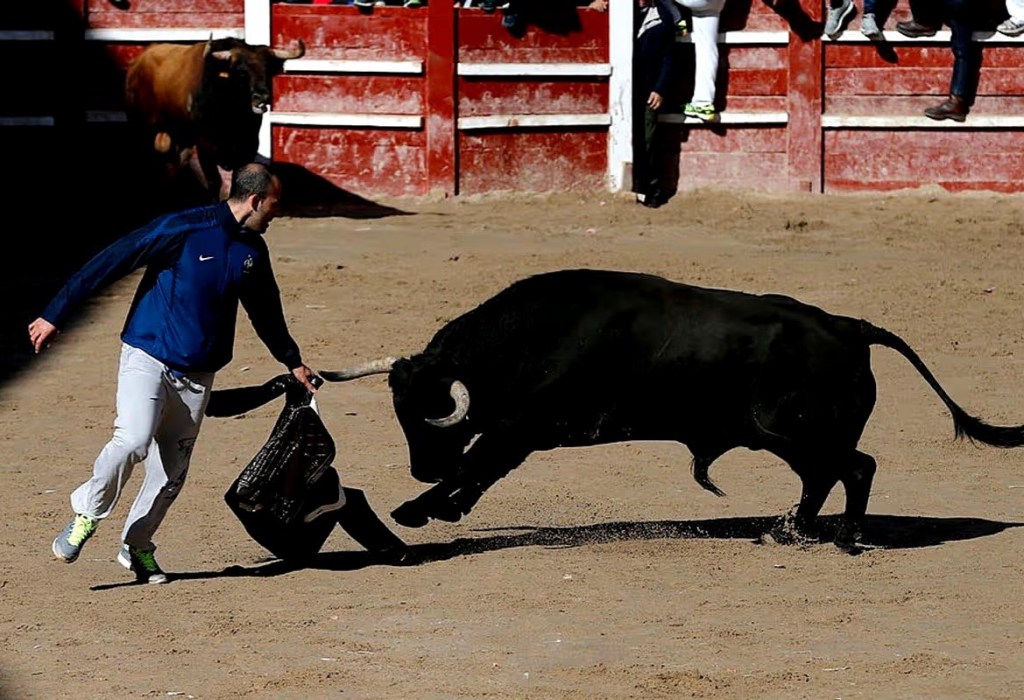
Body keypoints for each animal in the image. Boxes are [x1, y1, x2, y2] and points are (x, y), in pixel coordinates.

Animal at [124, 36, 305, 199]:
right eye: (241, 72)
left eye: (268, 70)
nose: (262, 97)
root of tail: (138, 62)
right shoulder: (205, 146)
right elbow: (214, 181)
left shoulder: (248, 145)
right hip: (140, 125)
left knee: (176, 162)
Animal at [321, 269, 1024, 551]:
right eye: (398, 413)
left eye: (430, 414)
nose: (418, 469)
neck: (525, 340)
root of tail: (850, 327)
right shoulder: (521, 433)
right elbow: (481, 470)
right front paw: (438, 506)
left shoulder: (525, 426)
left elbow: (477, 463)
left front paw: (417, 510)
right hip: (785, 438)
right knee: (826, 476)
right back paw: (786, 529)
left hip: (793, 432)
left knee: (855, 468)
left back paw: (843, 540)